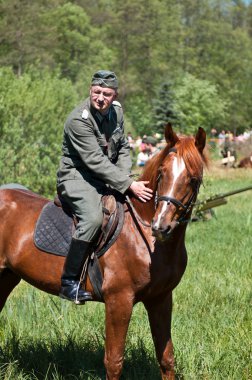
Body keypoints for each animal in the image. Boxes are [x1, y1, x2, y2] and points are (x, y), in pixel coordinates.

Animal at [0, 125, 207, 380]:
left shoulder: (160, 299)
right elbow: (114, 361)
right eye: (162, 173)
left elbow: (167, 358)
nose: (161, 226)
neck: (144, 238)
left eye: (193, 179)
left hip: (7, 277)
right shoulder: (119, 301)